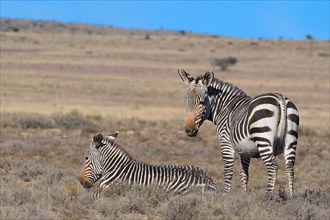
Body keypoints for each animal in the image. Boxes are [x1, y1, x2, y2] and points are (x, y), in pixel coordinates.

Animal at [78, 131, 217, 198]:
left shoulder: (110, 191)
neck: (116, 170)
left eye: (86, 158)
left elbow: (88, 196)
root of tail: (210, 181)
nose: (81, 181)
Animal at [178, 69, 300, 198]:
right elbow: (244, 173)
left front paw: (225, 194)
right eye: (186, 102)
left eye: (201, 102)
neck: (224, 107)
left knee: (272, 166)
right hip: (291, 140)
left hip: (262, 137)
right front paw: (244, 194)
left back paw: (267, 197)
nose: (189, 130)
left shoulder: (226, 142)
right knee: (290, 167)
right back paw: (291, 197)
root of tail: (280, 98)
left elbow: (228, 170)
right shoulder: (245, 149)